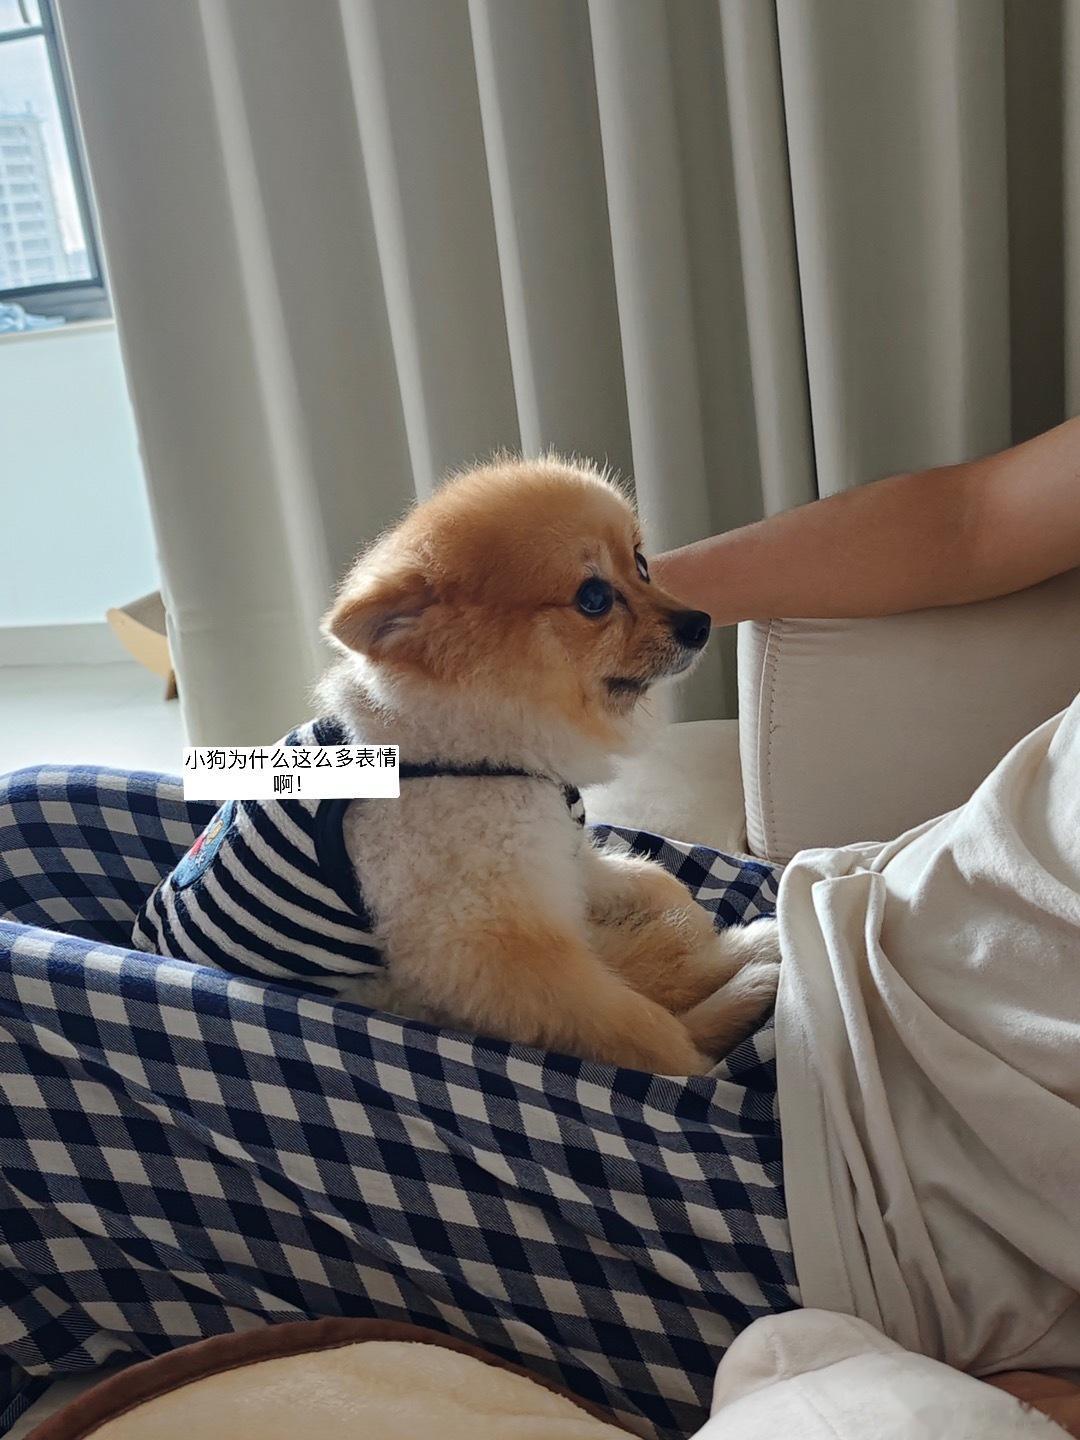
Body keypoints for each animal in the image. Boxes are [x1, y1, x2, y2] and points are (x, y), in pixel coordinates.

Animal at [314, 455, 780, 1073]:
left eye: (640, 564)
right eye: (594, 598)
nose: (699, 622)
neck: (485, 755)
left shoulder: (556, 855)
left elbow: (656, 884)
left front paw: (689, 912)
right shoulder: (494, 946)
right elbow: (643, 1032)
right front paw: (699, 1070)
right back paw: (752, 973)